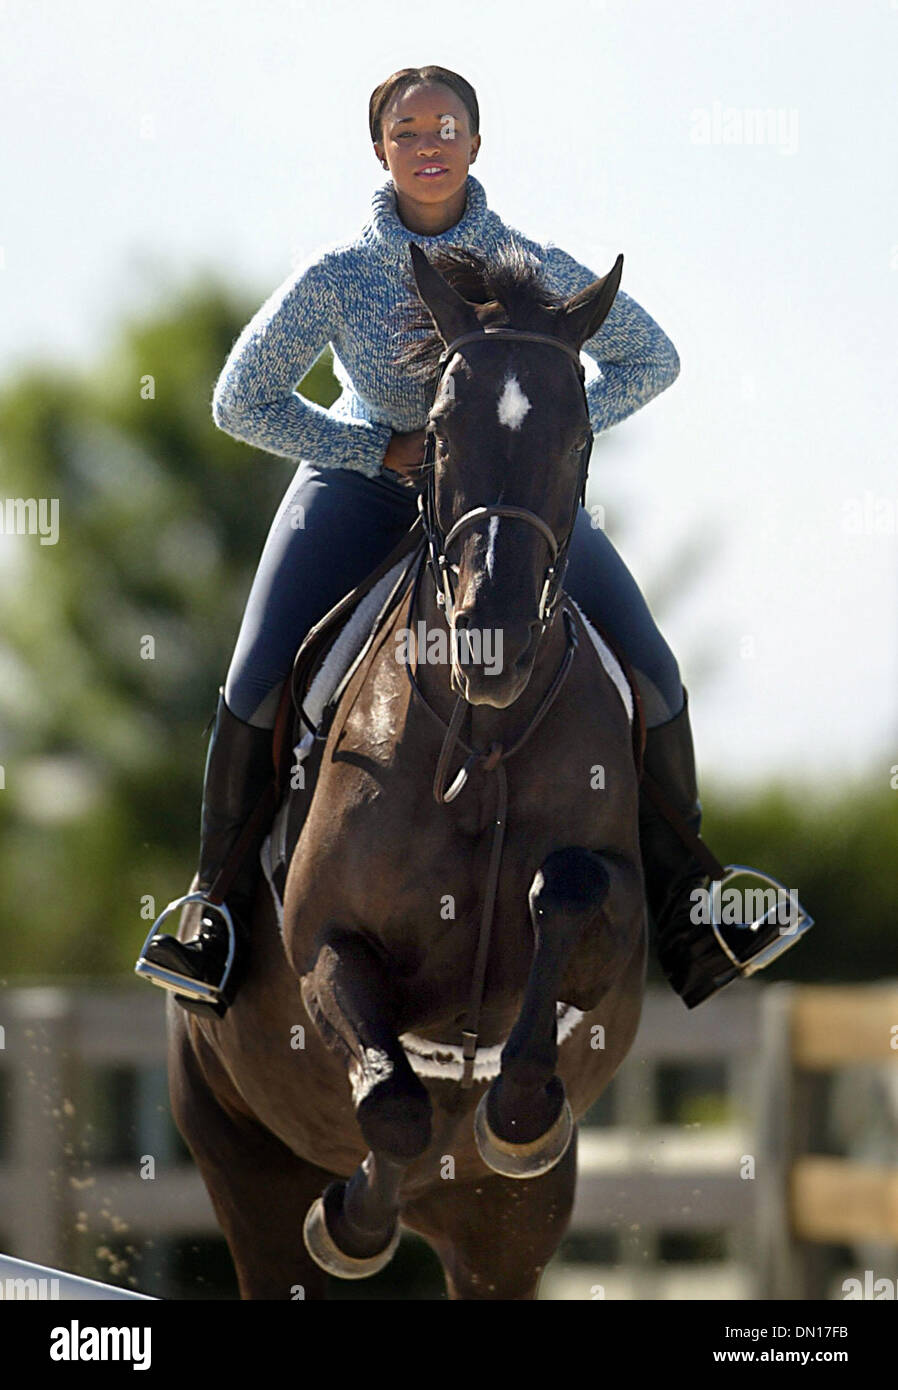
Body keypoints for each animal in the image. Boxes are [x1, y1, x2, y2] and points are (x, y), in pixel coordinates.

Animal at [165, 241, 650, 1301]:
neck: (483, 739)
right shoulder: (323, 943)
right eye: (437, 432)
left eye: (578, 436)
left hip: (507, 1239)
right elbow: (392, 1102)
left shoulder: (620, 934)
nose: (492, 639)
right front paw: (354, 1222)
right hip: (237, 1165)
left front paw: (519, 1111)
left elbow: (569, 887)